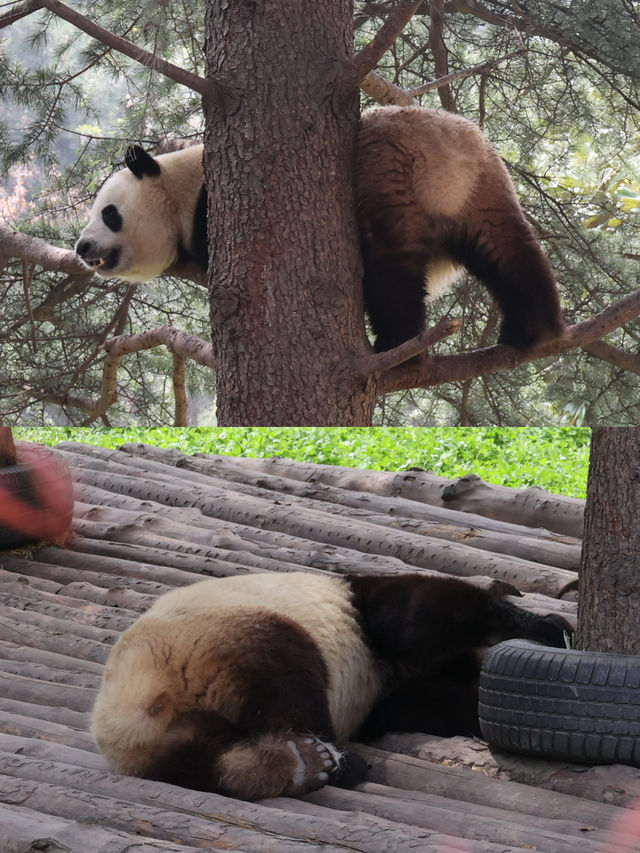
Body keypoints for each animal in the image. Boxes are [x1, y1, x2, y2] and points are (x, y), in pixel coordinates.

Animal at [76, 105, 564, 352]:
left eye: (109, 213)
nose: (81, 247)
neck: (176, 185)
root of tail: (448, 157)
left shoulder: (208, 199)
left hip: (380, 171)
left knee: (390, 265)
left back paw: (395, 344)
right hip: (485, 185)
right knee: (507, 249)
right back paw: (535, 329)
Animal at [91, 572, 568, 800]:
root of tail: (140, 701)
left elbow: (430, 702)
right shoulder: (371, 611)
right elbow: (419, 615)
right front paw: (549, 627)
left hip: (160, 745)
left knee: (198, 761)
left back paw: (287, 766)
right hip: (231, 632)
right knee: (289, 686)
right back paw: (330, 762)